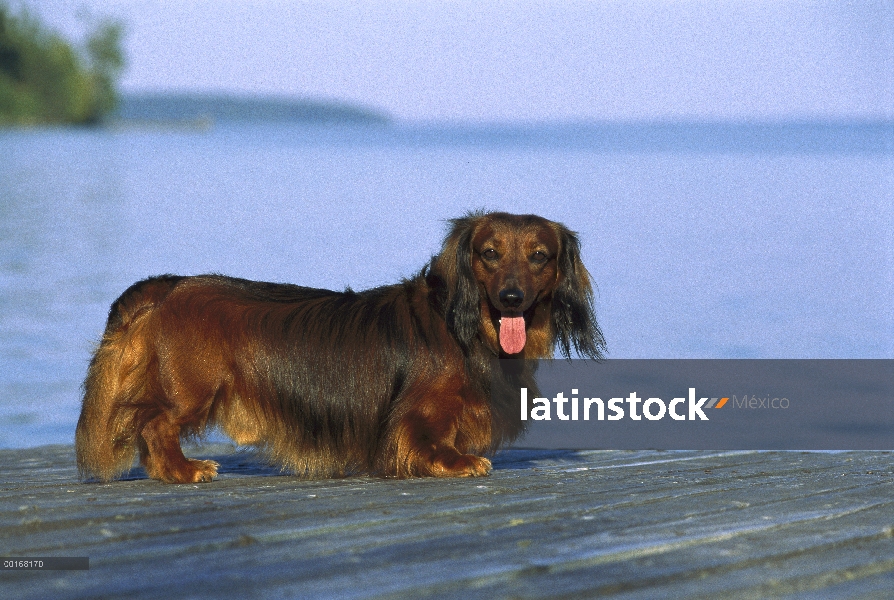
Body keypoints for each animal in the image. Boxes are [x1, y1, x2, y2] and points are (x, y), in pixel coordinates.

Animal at [77, 211, 604, 482]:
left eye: (540, 257)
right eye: (489, 254)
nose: (512, 297)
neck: (468, 328)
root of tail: (171, 286)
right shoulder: (416, 412)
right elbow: (424, 438)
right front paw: (456, 461)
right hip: (191, 388)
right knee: (154, 424)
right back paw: (183, 470)